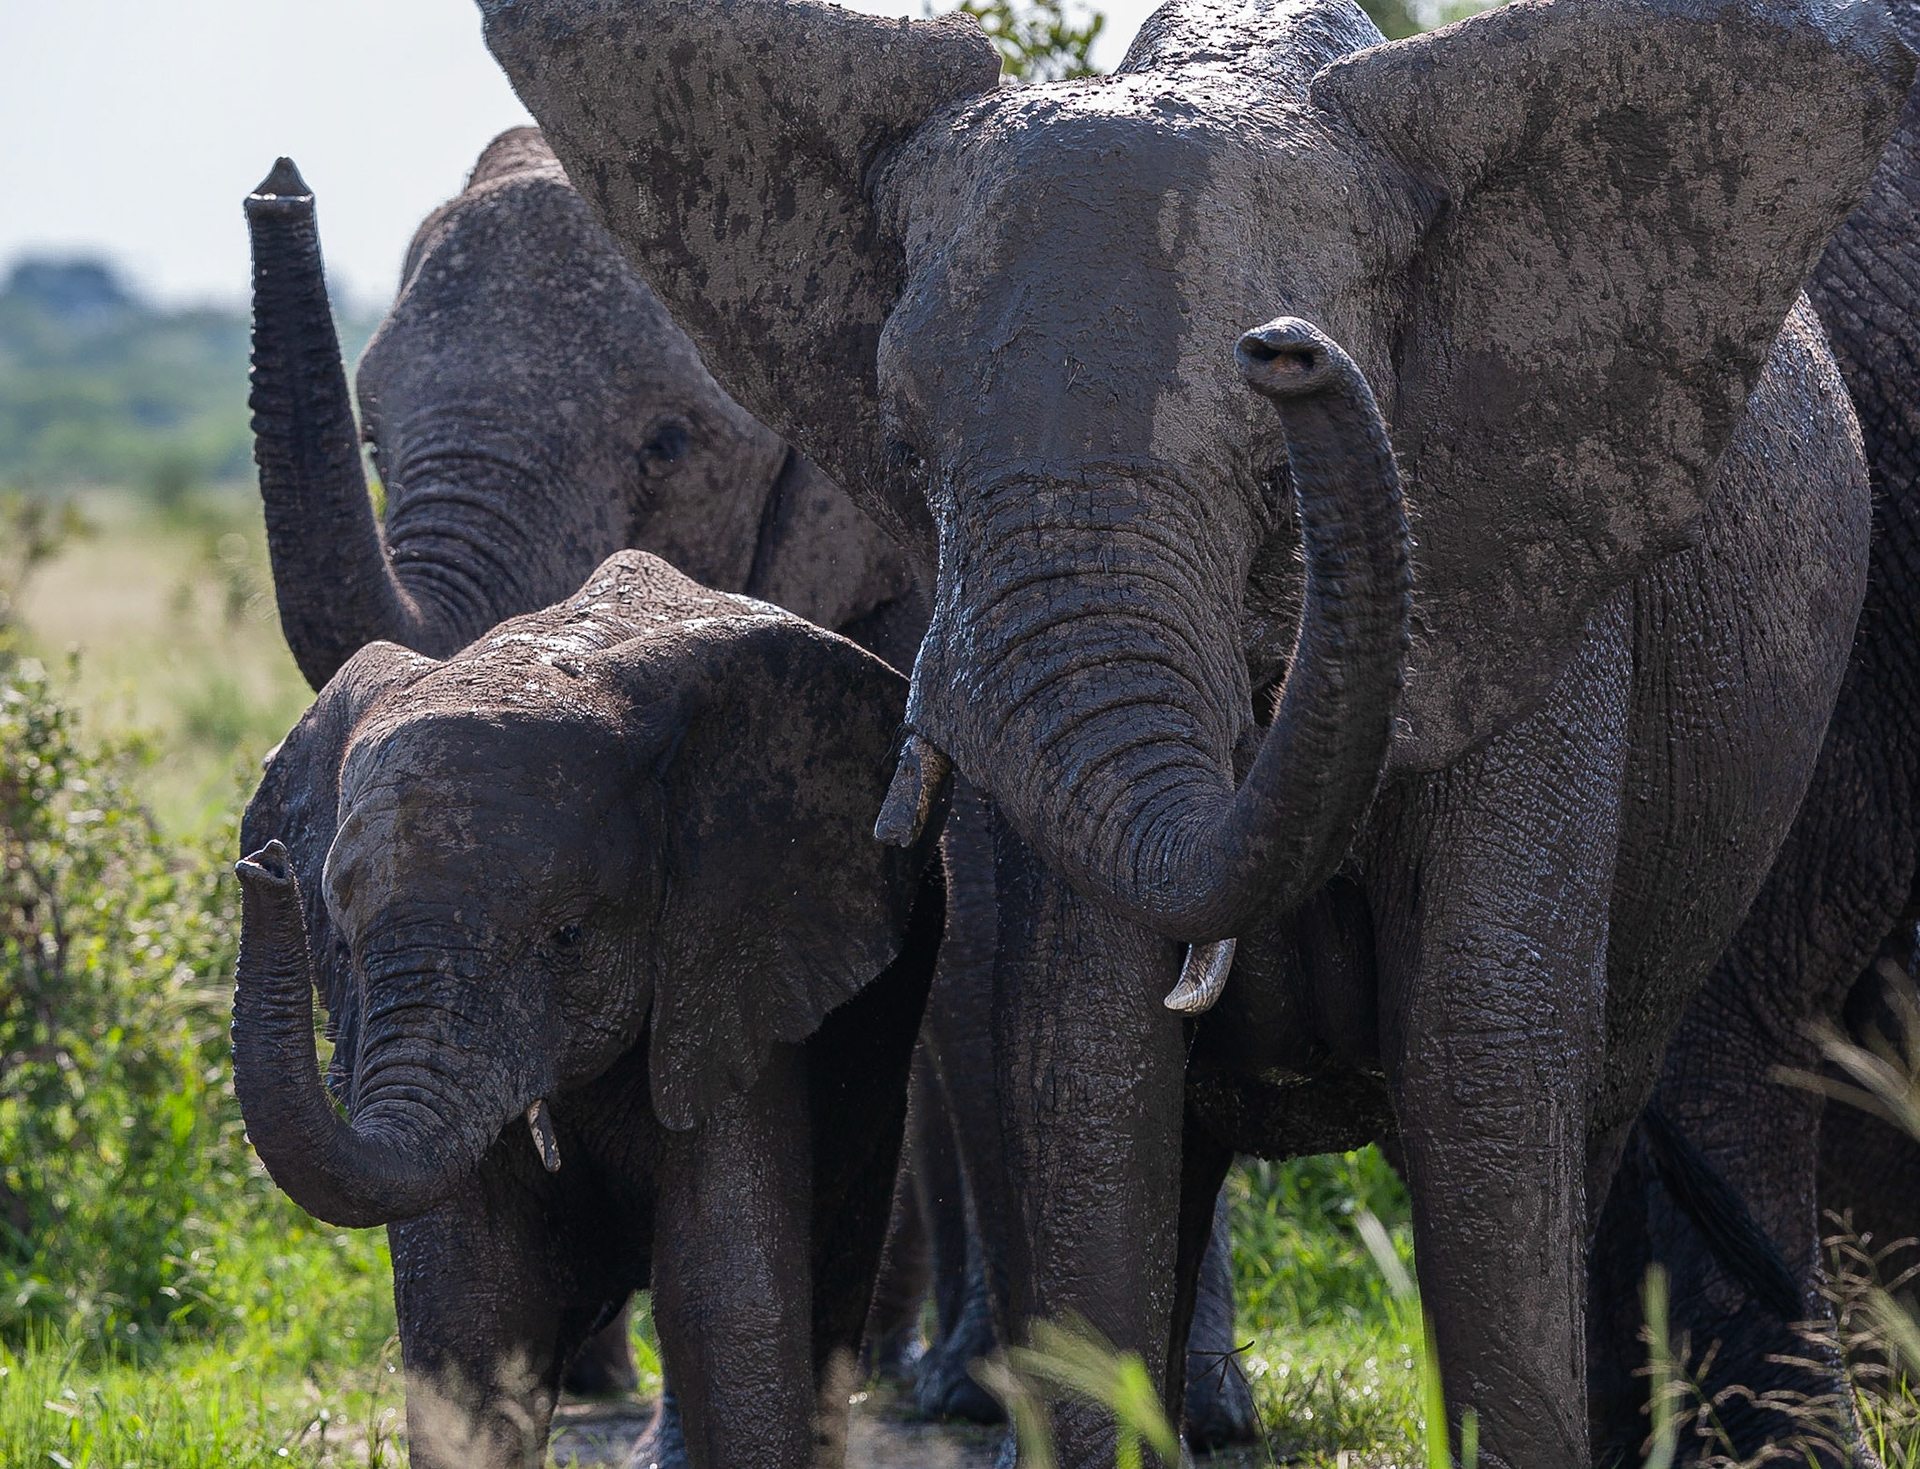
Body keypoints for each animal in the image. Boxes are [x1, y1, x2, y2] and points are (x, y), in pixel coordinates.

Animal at [228, 549, 948, 1467]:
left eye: (568, 936)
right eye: (344, 948)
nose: (264, 865)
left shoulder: (734, 949)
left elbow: (727, 1303)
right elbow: (472, 1310)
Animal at [476, 2, 1904, 1467]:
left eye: (1277, 471)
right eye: (906, 455)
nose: (1289, 347)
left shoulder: (1531, 575)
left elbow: (1482, 1055)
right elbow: (1092, 1054)